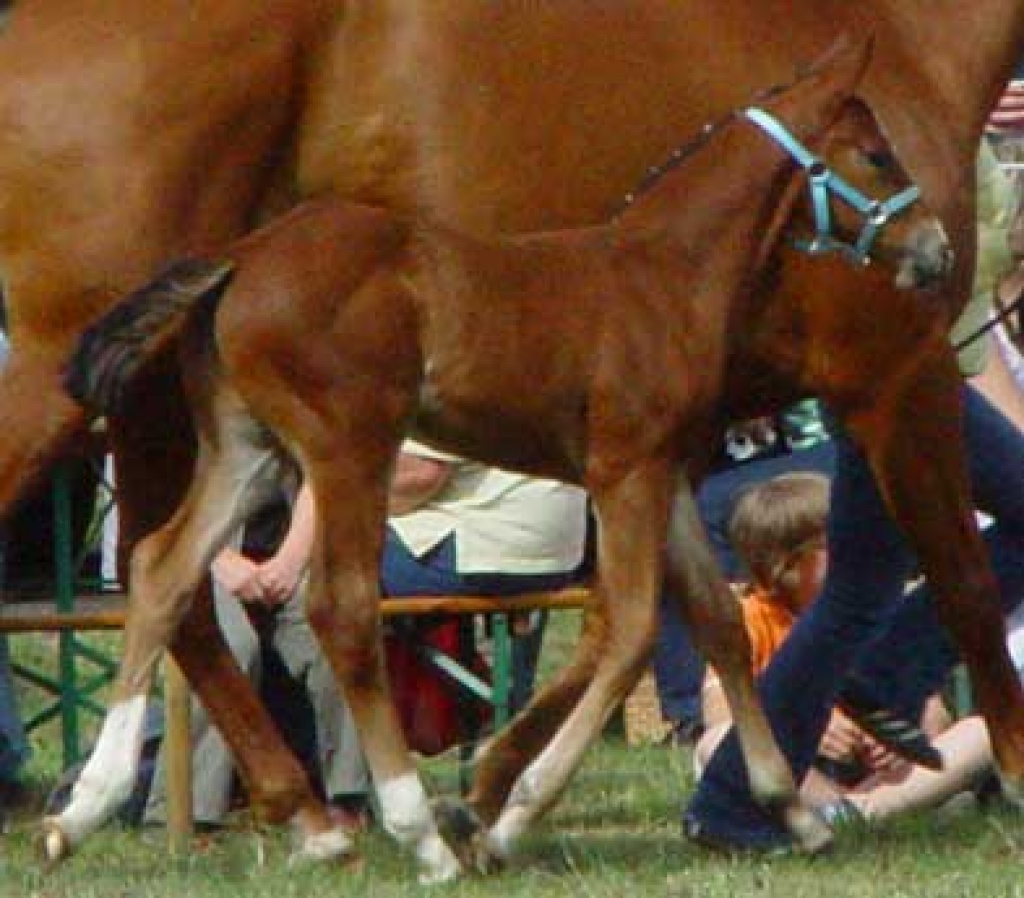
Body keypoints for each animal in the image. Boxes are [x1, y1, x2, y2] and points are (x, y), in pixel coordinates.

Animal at [0, 0, 1019, 865]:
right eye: (877, 155)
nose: (932, 252)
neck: (659, 266)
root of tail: (237, 263)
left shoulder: (662, 464)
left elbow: (707, 616)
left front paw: (781, 805)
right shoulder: (873, 380)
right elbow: (939, 579)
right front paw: (508, 811)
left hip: (226, 439)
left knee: (162, 571)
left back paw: (176, 815)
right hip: (322, 442)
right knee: (335, 607)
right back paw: (406, 828)